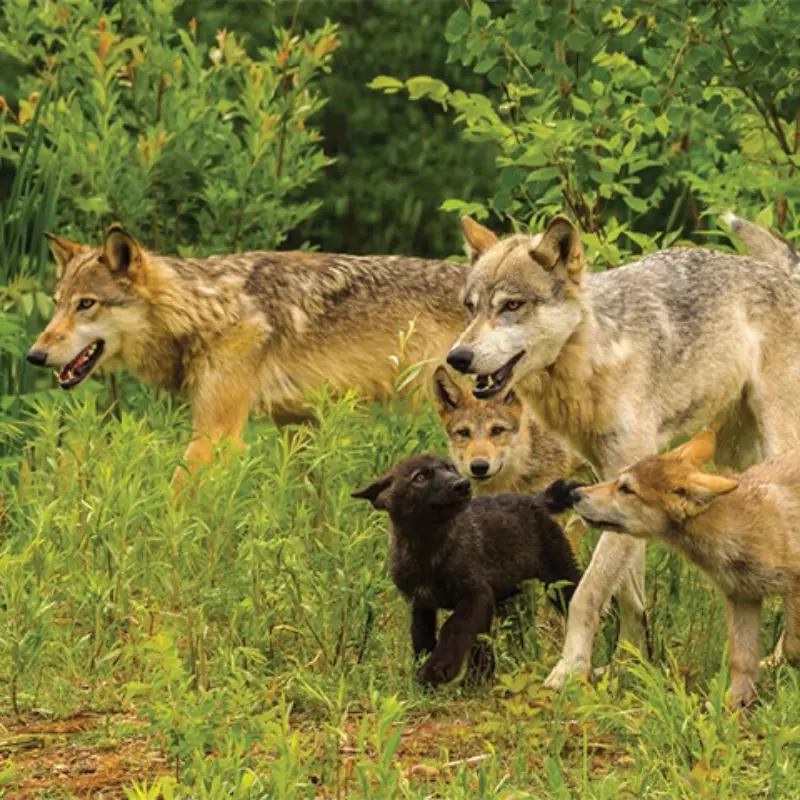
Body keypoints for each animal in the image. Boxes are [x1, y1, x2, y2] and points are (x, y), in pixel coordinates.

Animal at [26, 225, 467, 476]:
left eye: (86, 304)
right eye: (57, 304)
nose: (34, 356)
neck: (208, 310)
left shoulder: (216, 435)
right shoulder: (297, 424)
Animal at [352, 453, 582, 685]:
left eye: (451, 468)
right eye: (420, 477)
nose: (462, 484)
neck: (426, 547)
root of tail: (536, 501)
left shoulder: (476, 594)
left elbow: (454, 626)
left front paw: (438, 668)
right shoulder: (421, 604)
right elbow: (422, 640)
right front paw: (423, 682)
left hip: (560, 575)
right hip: (507, 596)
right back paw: (482, 679)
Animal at [569, 430, 800, 709]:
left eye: (626, 489)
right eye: (617, 480)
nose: (575, 493)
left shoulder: (793, 589)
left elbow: (792, 647)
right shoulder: (742, 597)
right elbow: (742, 662)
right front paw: (733, 708)